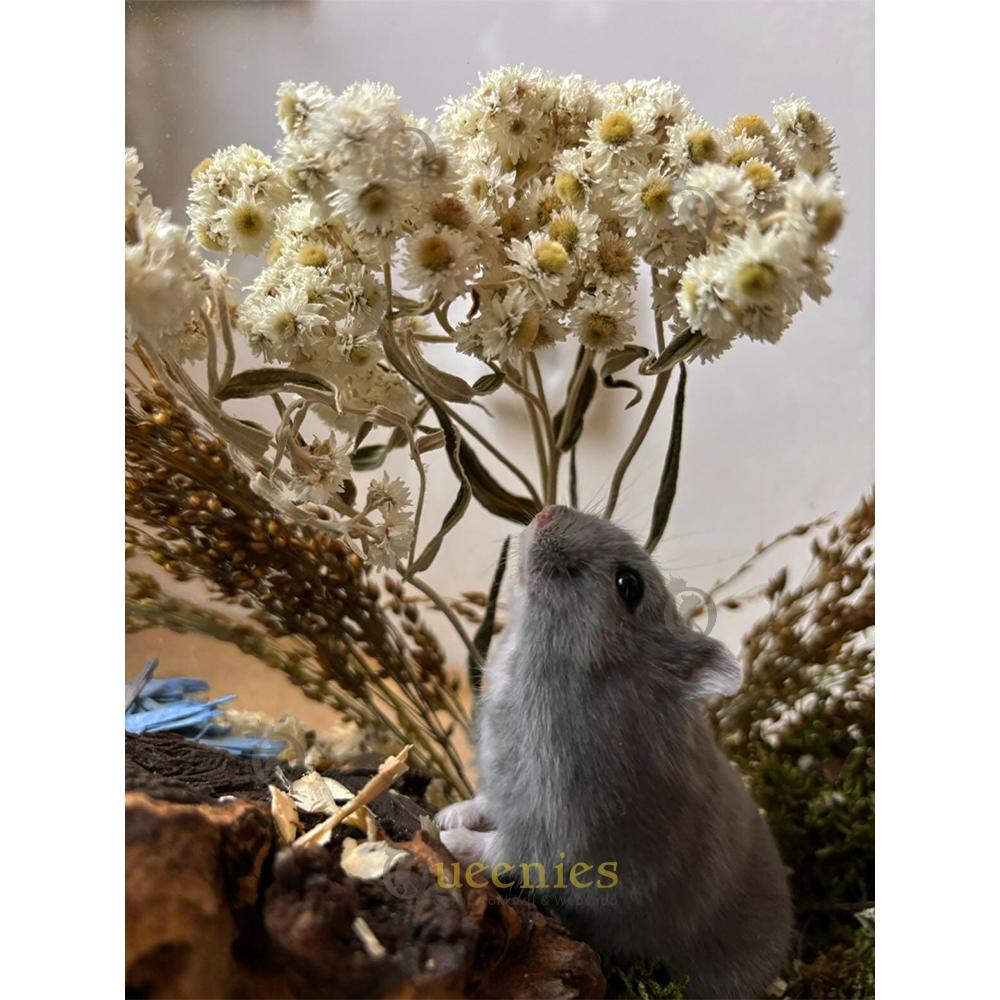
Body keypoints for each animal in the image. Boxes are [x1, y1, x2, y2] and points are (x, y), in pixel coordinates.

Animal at [437, 505, 791, 999]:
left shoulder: (558, 830)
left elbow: (501, 852)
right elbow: (483, 802)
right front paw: (447, 814)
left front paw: (448, 841)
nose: (546, 513)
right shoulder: (502, 782)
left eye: (629, 585)